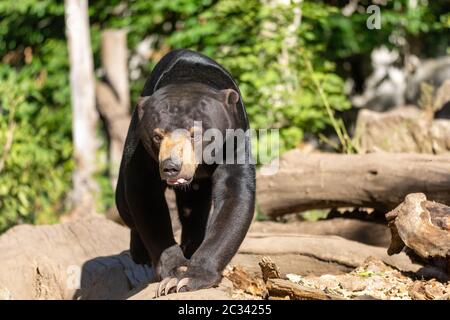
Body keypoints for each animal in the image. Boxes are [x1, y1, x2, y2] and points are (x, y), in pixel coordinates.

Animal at [115, 48, 256, 296]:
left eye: (195, 133)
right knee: (124, 203)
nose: (171, 166)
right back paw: (140, 253)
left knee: (195, 212)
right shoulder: (142, 151)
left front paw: (190, 277)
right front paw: (174, 272)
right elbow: (144, 195)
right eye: (157, 135)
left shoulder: (234, 139)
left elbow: (235, 195)